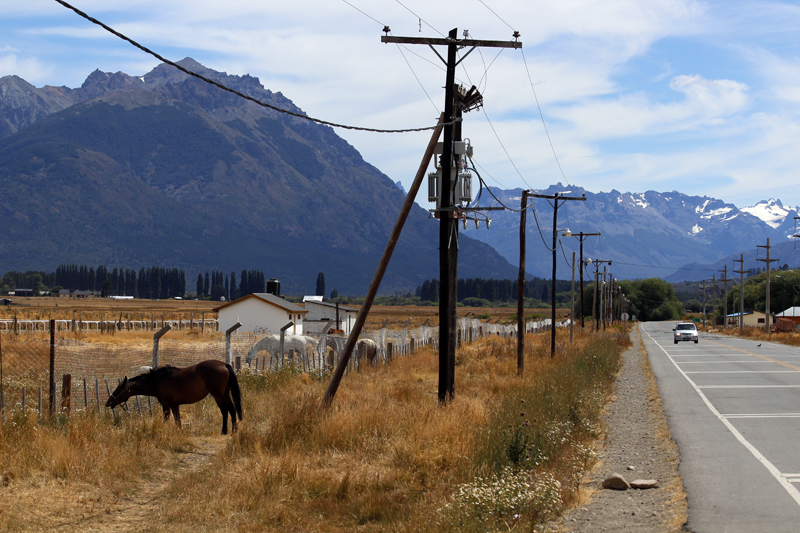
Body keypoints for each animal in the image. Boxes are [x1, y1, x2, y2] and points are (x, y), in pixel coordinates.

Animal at [108, 360, 242, 434]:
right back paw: (234, 430)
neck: (158, 380)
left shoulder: (166, 405)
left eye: (118, 390)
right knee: (232, 409)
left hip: (218, 395)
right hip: (225, 394)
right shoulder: (175, 405)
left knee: (225, 411)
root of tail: (224, 364)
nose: (108, 402)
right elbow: (178, 421)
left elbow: (167, 419)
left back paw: (224, 431)